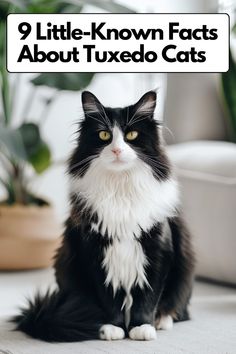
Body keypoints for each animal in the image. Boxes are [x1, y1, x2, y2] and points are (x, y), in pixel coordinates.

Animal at [12, 90, 195, 342]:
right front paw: (113, 328)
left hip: (184, 268)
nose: (117, 150)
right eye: (104, 135)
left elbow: (148, 297)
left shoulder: (157, 249)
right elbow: (108, 298)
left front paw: (142, 327)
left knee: (179, 308)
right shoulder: (95, 251)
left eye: (131, 134)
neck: (120, 190)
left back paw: (161, 320)